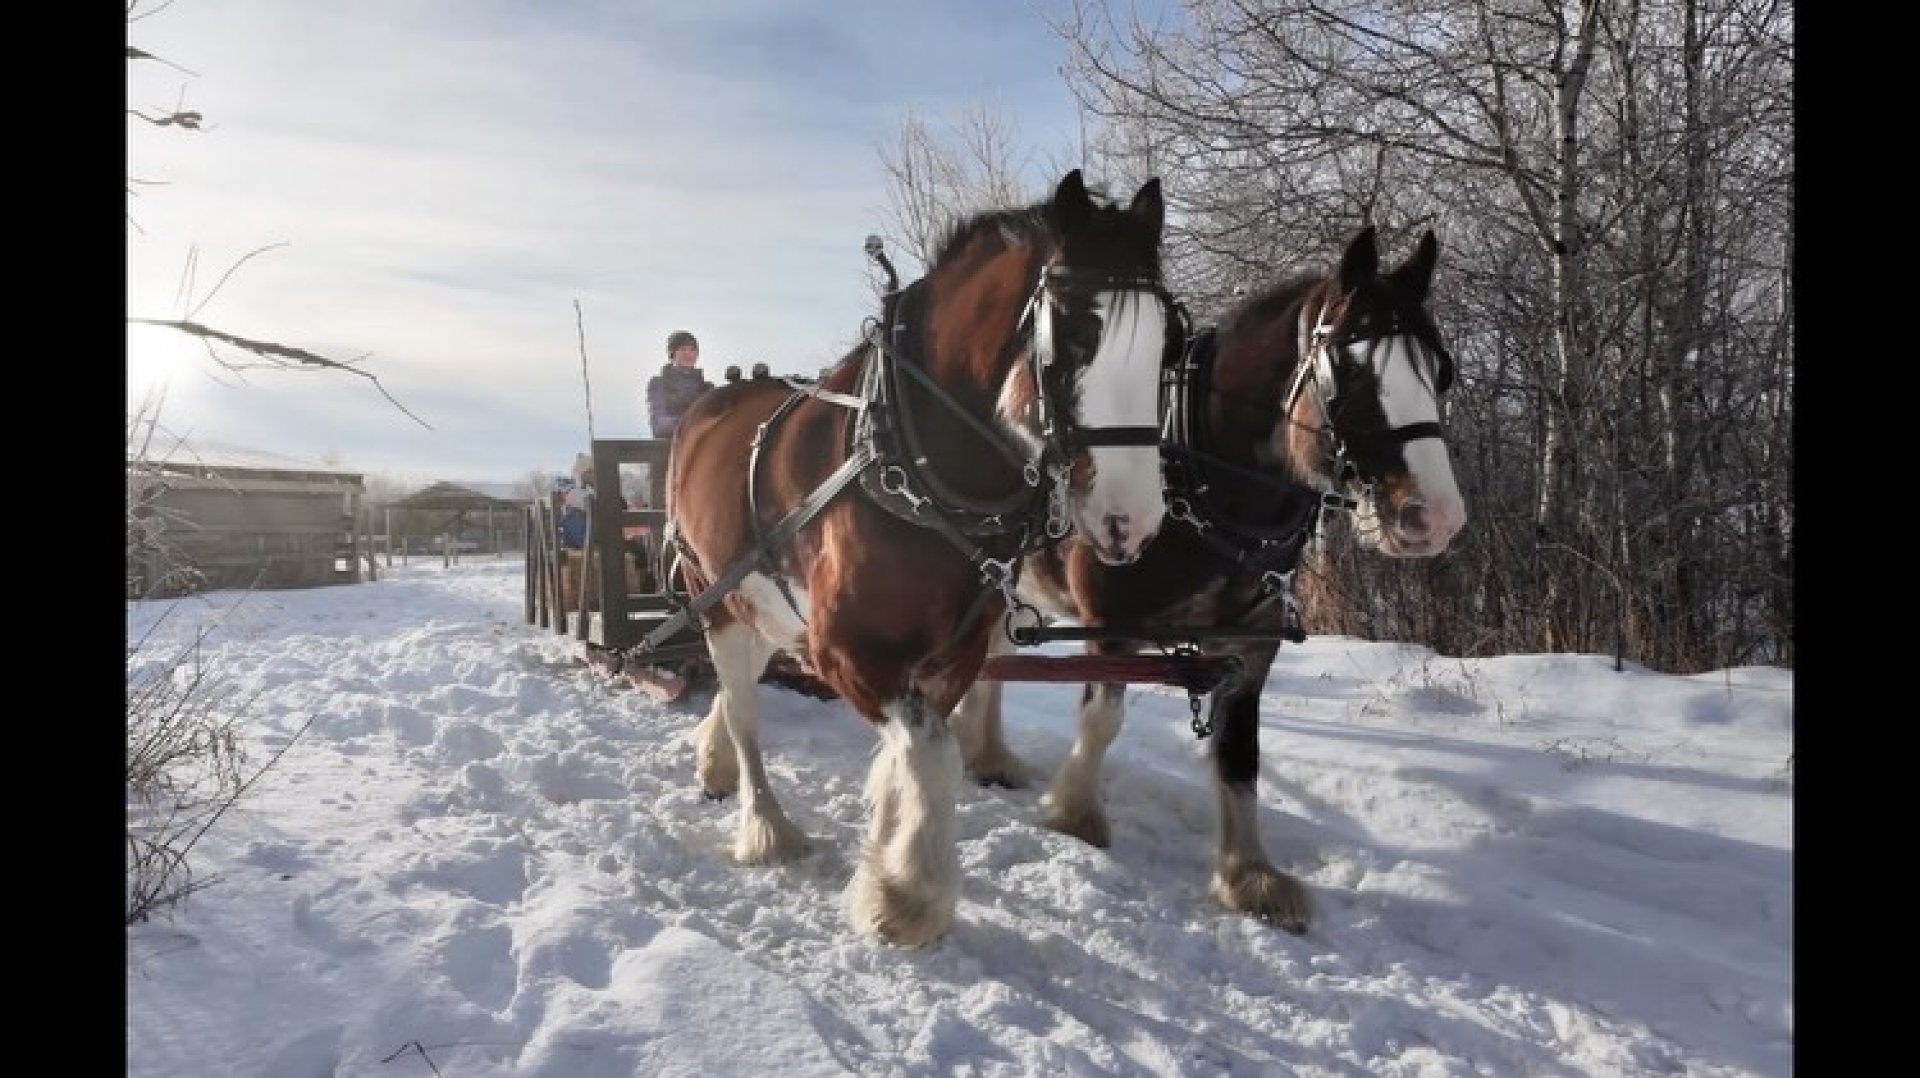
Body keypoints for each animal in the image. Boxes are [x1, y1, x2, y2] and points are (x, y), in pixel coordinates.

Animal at [660, 169, 1181, 947]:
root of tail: (708, 405)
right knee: (746, 706)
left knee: (739, 683)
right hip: (714, 594)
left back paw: (714, 761)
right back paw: (767, 826)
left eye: (1169, 342)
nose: (1132, 518)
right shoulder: (845, 652)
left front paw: (890, 860)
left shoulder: (954, 656)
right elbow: (932, 758)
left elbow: (913, 757)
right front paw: (909, 899)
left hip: (763, 602)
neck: (917, 462)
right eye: (1075, 332)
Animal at [949, 224, 1465, 935]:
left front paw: (1249, 876)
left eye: (1441, 370)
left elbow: (1240, 757)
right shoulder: (1111, 626)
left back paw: (988, 755)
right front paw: (1074, 816)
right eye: (1352, 371)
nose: (1436, 517)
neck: (1197, 474)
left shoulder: (1250, 648)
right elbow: (1102, 719)